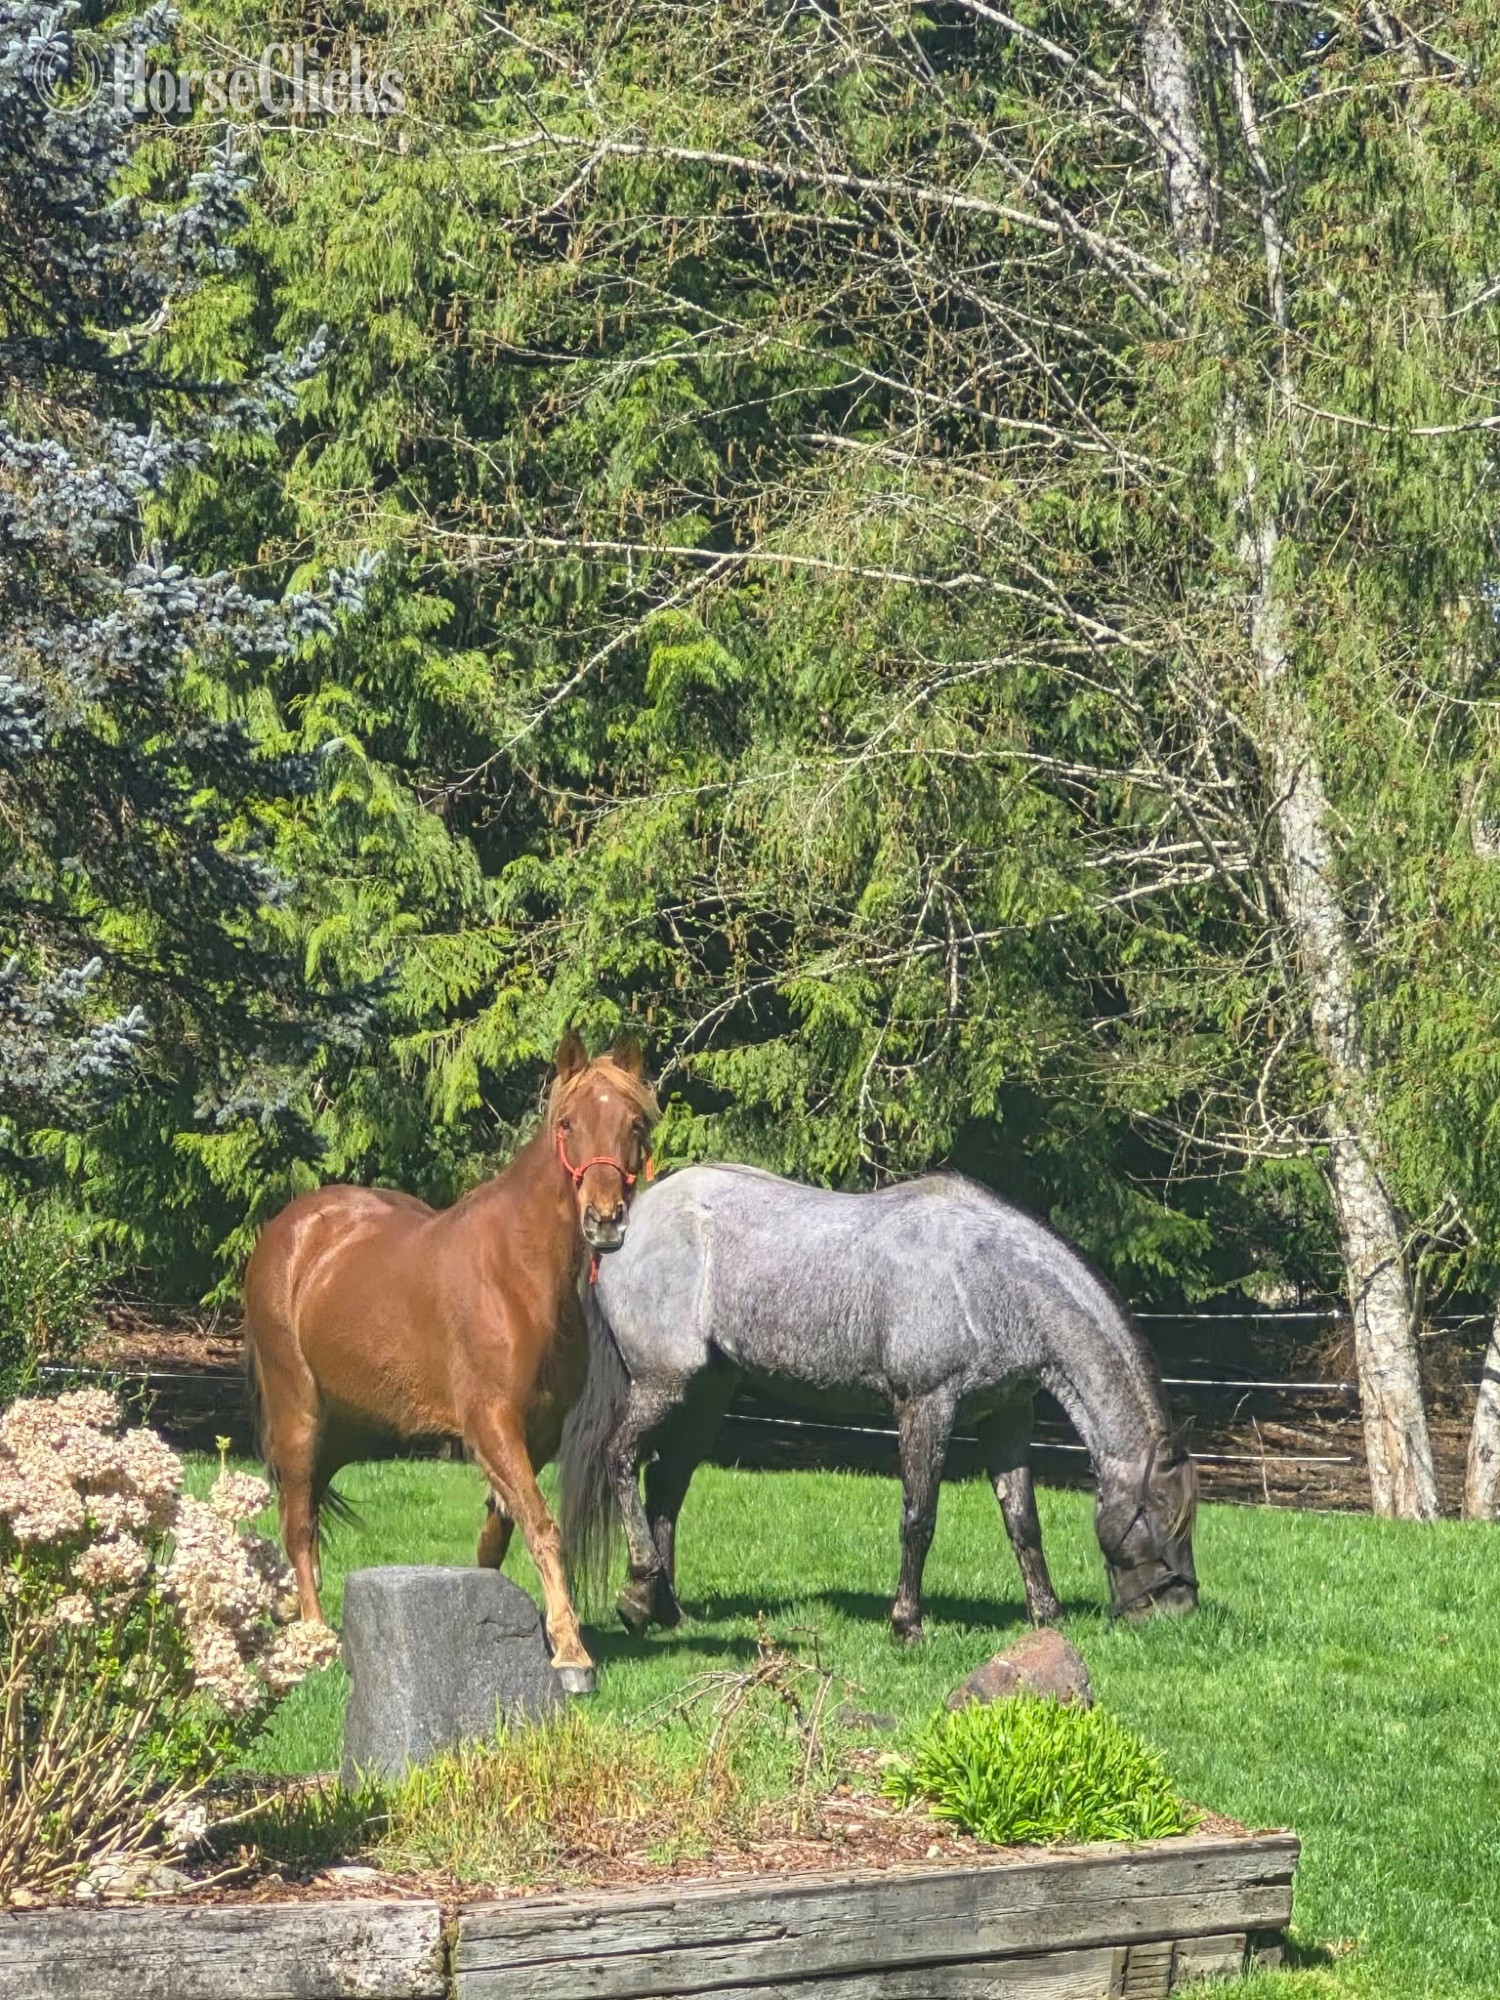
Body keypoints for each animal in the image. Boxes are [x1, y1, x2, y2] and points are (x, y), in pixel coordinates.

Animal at [243, 1029, 658, 1693]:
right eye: (567, 1123)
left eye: (634, 1123)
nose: (604, 1220)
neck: (517, 1276)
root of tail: (290, 1231)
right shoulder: (491, 1422)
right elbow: (543, 1527)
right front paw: (572, 1655)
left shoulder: (537, 1433)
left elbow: (502, 1533)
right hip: (298, 1413)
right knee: (298, 1520)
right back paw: (314, 1635)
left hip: (351, 1427)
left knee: (299, 1506)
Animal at [559, 1164, 1198, 1642]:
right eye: (1159, 1514)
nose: (1176, 1610)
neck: (987, 1278)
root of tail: (621, 1227)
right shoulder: (926, 1407)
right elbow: (919, 1519)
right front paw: (907, 1623)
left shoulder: (1007, 1416)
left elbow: (1023, 1521)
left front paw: (1047, 1615)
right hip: (664, 1382)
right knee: (621, 1459)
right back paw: (638, 1590)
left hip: (706, 1392)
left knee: (668, 1486)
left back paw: (665, 1610)